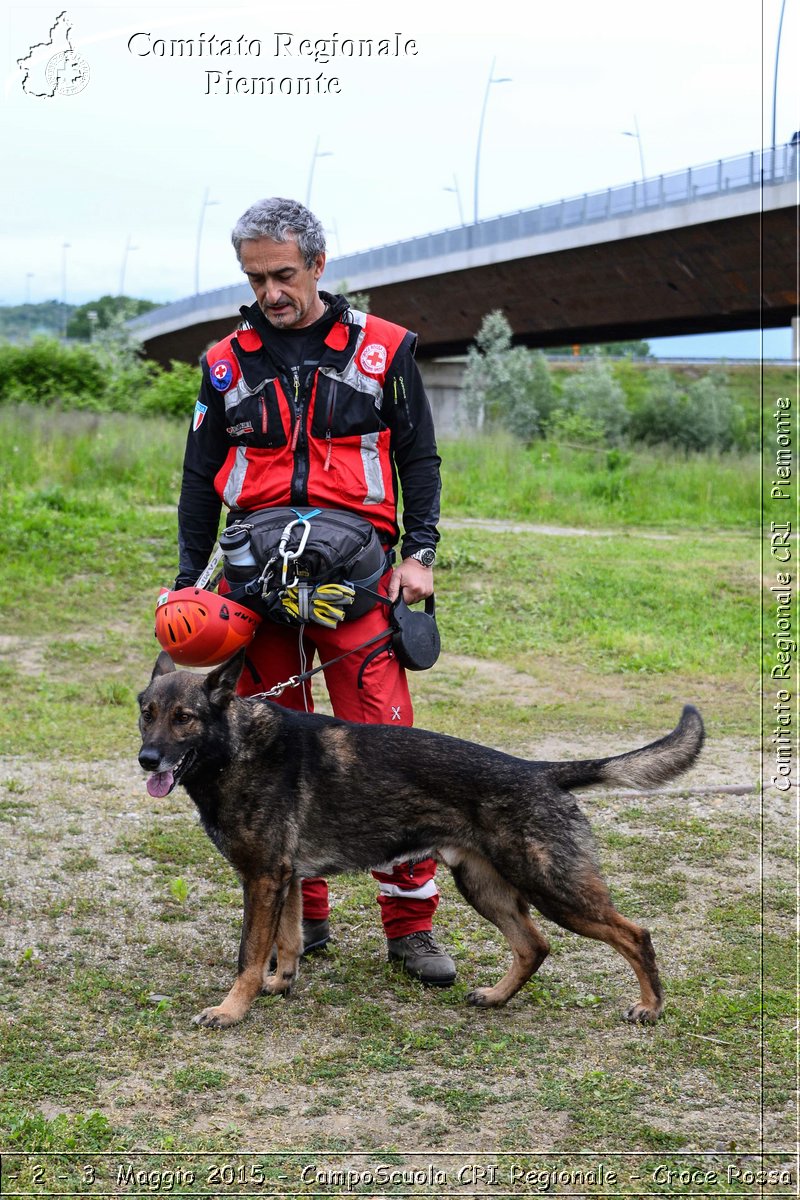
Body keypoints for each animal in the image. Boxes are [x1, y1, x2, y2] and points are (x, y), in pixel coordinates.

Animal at [139, 652, 705, 1027]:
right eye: (146, 714)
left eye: (183, 718)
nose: (147, 759)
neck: (233, 747)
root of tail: (539, 771)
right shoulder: (285, 881)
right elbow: (288, 941)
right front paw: (280, 985)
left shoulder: (261, 880)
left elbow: (250, 954)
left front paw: (232, 1009)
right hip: (485, 888)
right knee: (535, 945)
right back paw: (497, 997)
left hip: (554, 890)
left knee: (634, 934)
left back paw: (650, 1006)